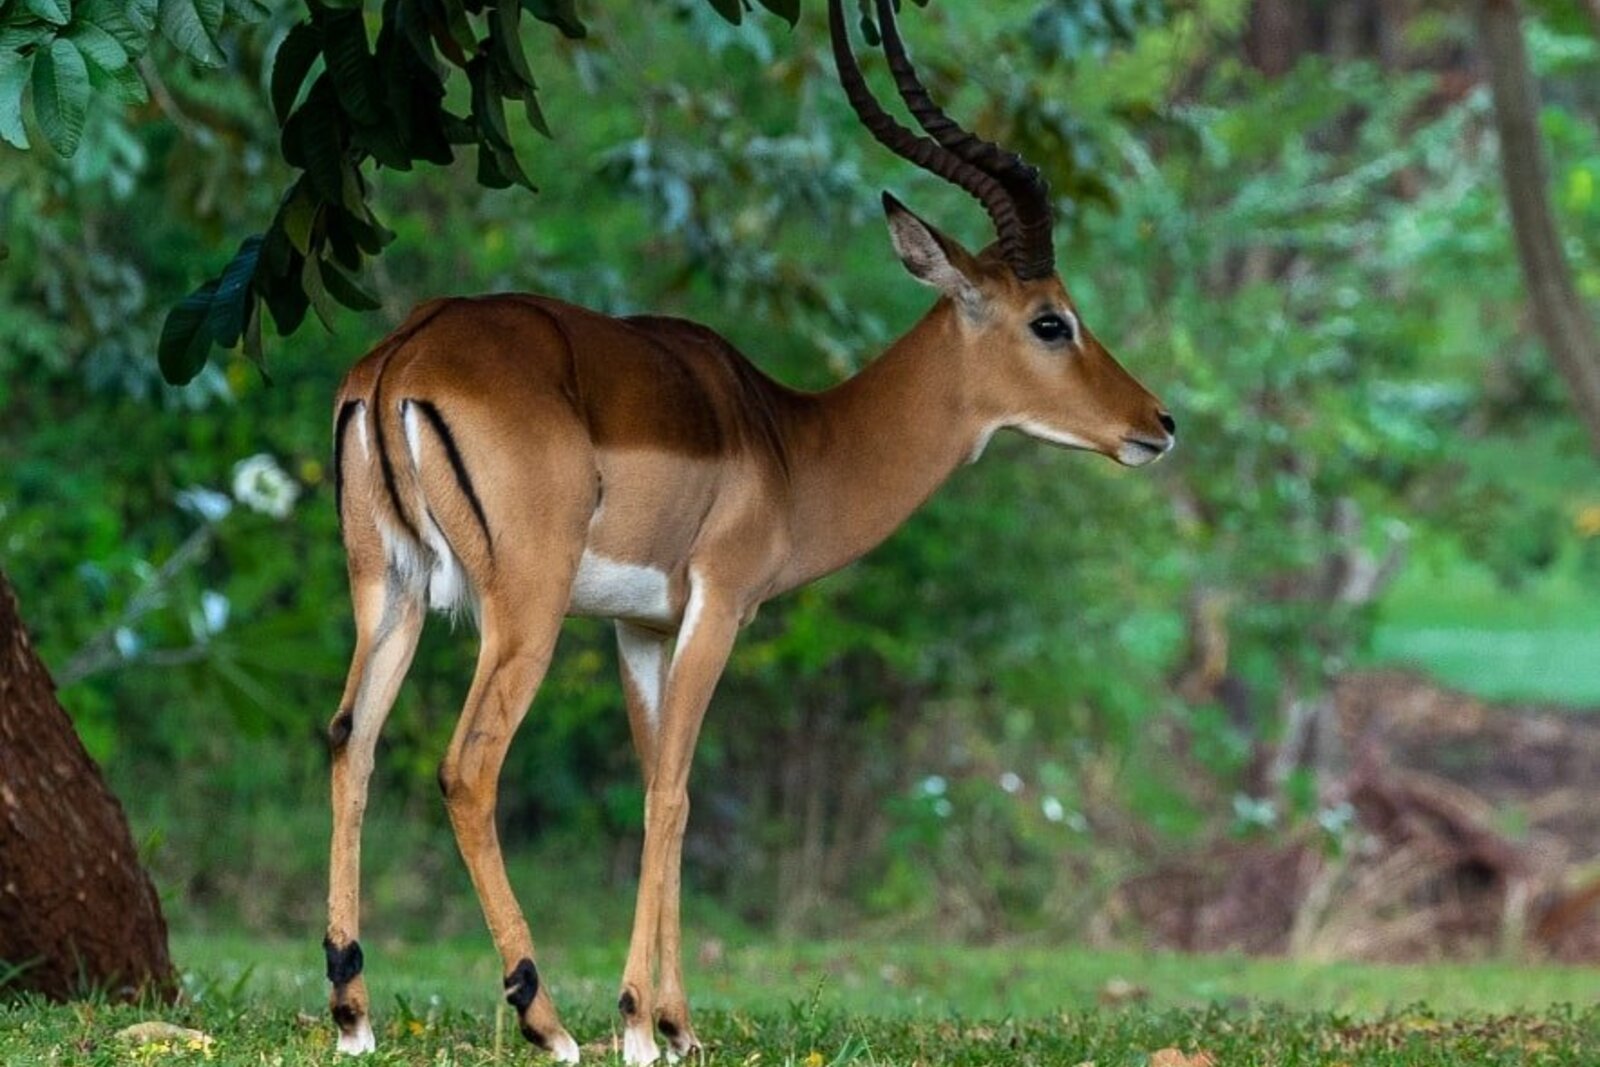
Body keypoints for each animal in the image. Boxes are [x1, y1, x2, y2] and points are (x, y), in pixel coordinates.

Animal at [321, 0, 1174, 1061]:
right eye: (1052, 320)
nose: (1157, 423)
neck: (790, 441)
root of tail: (403, 356)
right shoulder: (719, 607)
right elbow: (674, 793)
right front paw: (640, 1023)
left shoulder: (640, 627)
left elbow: (660, 784)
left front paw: (676, 1022)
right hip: (524, 608)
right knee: (467, 766)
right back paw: (545, 1018)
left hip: (388, 592)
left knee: (349, 740)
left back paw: (353, 1010)